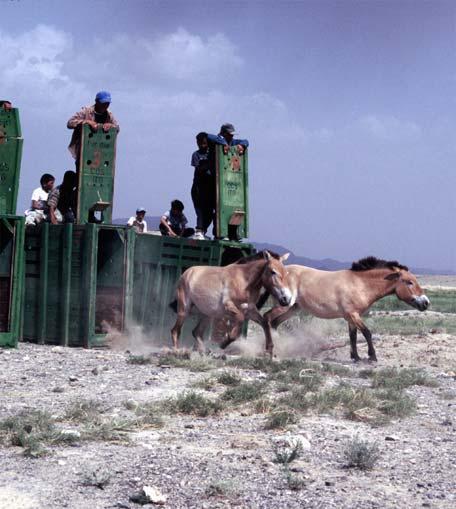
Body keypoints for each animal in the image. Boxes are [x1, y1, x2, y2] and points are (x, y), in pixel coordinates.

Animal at [266, 254, 430, 362]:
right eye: (409, 282)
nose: (426, 303)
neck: (360, 283)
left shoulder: (351, 317)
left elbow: (353, 336)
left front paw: (356, 357)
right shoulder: (353, 315)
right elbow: (367, 333)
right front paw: (372, 356)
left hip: (293, 308)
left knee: (274, 323)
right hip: (283, 305)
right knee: (267, 318)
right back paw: (271, 351)